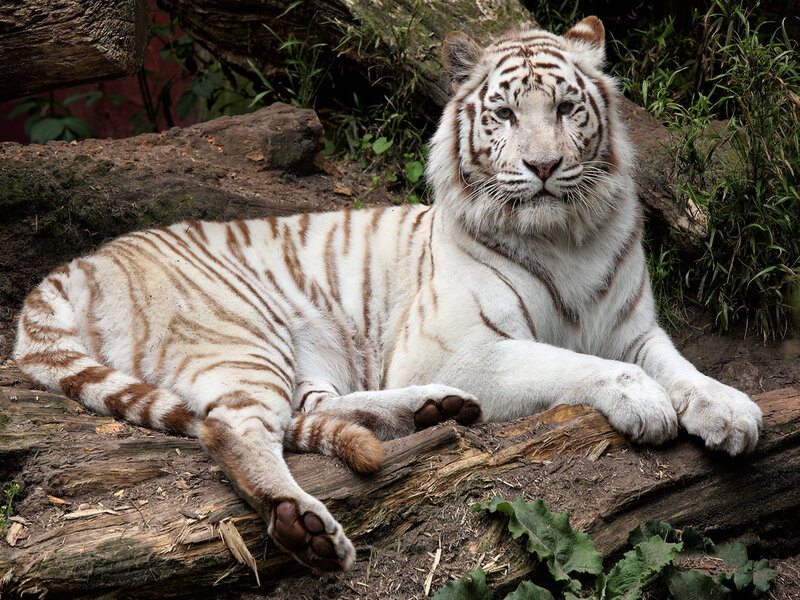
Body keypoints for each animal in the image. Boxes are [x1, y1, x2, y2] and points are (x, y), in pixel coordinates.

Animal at [14, 17, 762, 573]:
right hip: (243, 331)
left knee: (304, 413)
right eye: (503, 115)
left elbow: (682, 366)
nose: (545, 165)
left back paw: (435, 411)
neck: (564, 237)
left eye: (567, 108)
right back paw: (306, 524)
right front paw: (645, 403)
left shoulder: (634, 328)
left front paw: (730, 411)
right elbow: (579, 364)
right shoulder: (462, 347)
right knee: (231, 427)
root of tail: (75, 266)